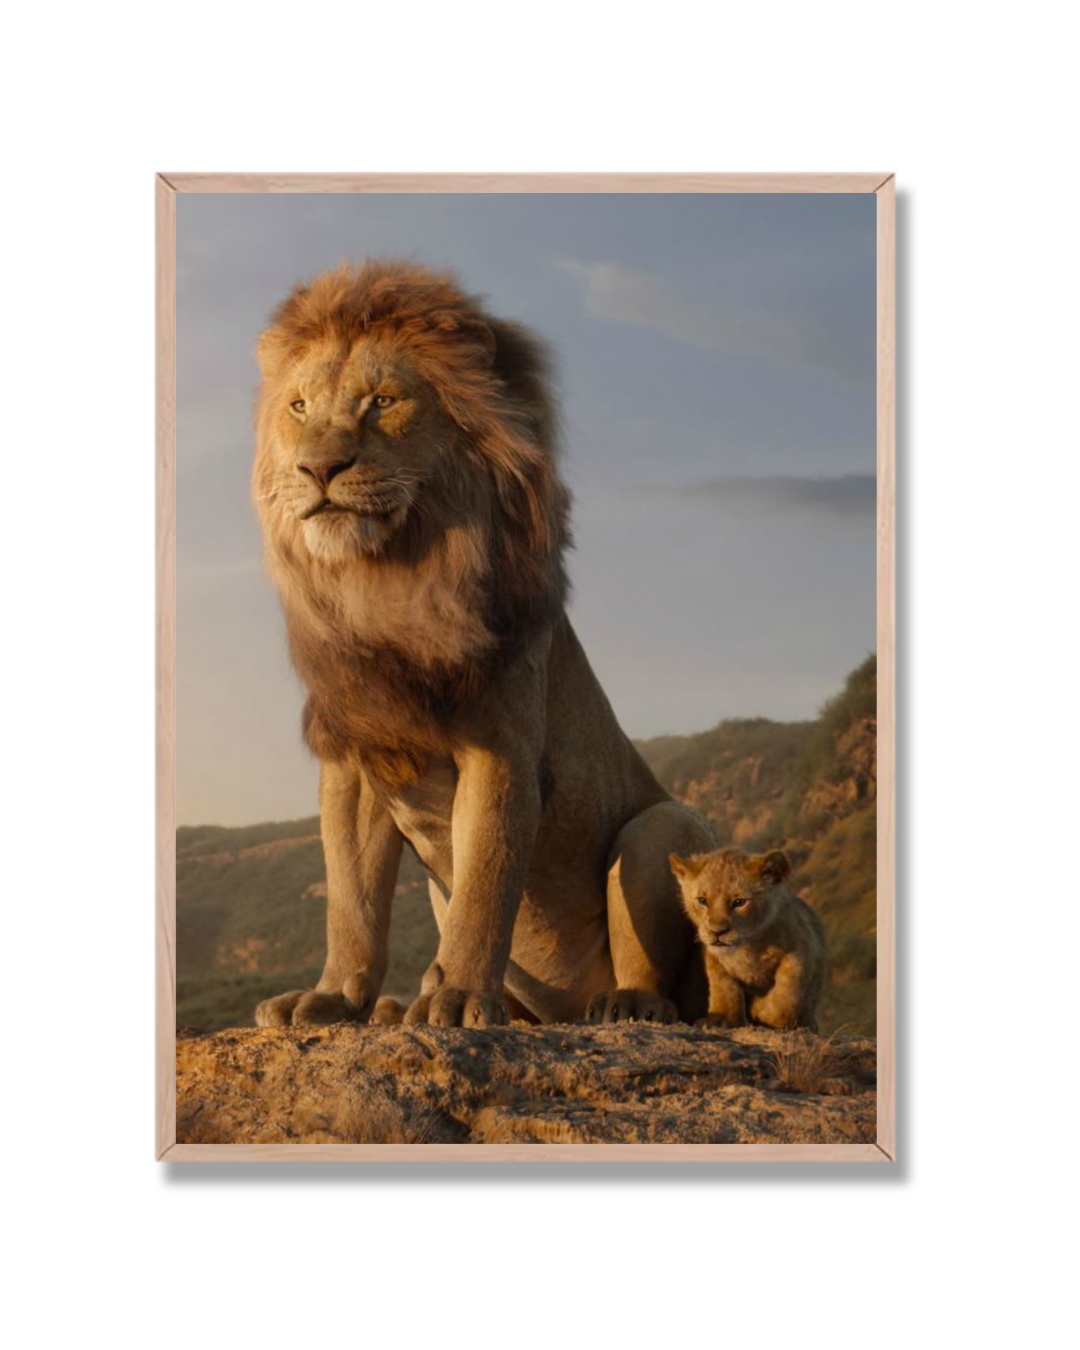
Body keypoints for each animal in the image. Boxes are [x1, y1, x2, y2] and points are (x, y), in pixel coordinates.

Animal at [251, 260, 716, 1029]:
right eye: (298, 407)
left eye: (383, 401)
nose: (318, 469)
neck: (388, 583)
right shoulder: (356, 757)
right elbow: (352, 900)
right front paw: (333, 997)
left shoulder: (501, 748)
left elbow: (486, 883)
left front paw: (461, 997)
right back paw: (398, 1007)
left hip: (661, 826)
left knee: (662, 978)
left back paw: (623, 1004)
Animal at [669, 848, 826, 1030]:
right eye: (702, 900)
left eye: (739, 902)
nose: (717, 932)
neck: (748, 946)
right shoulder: (715, 959)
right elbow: (723, 988)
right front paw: (722, 1020)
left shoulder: (800, 951)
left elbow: (786, 992)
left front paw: (764, 1012)